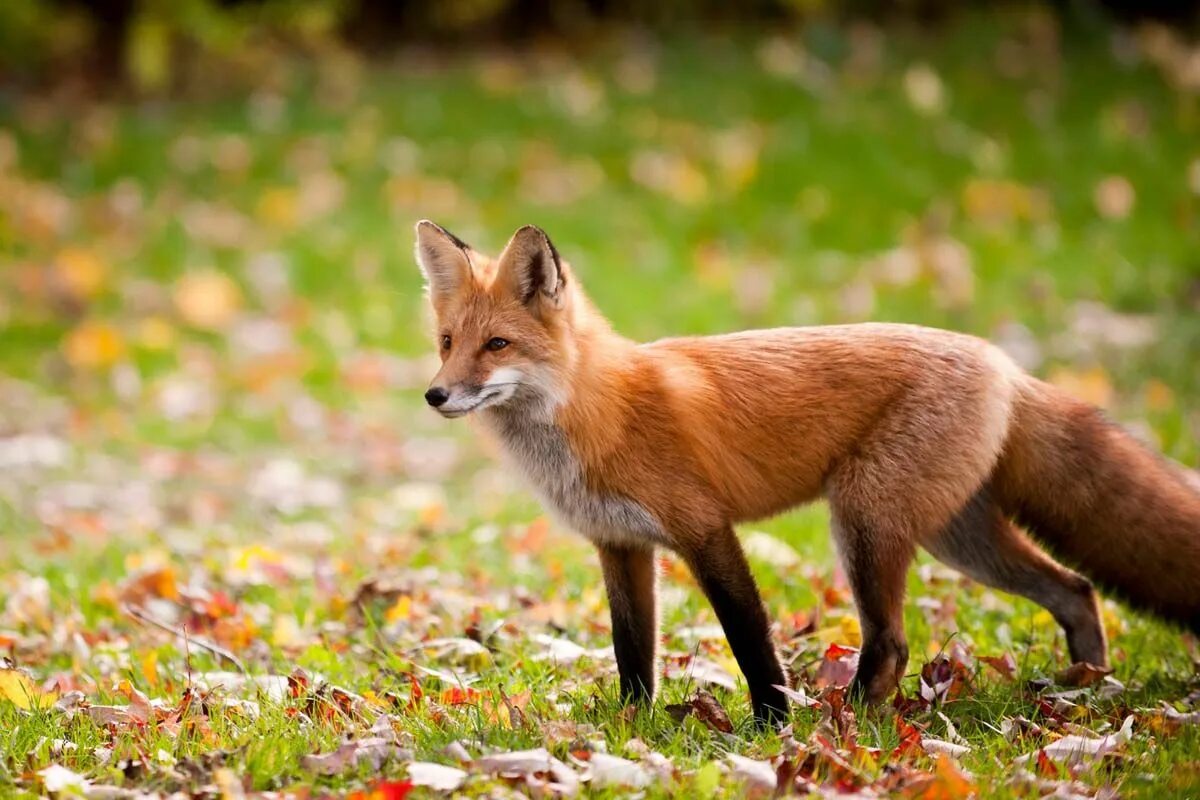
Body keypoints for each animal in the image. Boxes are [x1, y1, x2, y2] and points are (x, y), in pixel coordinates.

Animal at [414, 219, 1200, 726]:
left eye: (497, 345)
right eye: (448, 343)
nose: (436, 395)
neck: (597, 410)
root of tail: (1001, 361)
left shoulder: (705, 530)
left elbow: (749, 638)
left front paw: (770, 724)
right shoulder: (621, 545)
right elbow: (631, 650)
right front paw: (632, 728)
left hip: (864, 521)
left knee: (893, 643)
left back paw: (843, 723)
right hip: (957, 538)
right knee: (1076, 589)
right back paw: (1084, 686)